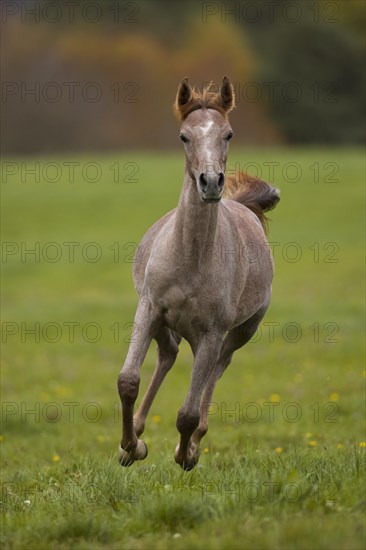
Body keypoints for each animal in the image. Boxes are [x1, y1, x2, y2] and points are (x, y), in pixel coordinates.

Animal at [117, 77, 280, 472]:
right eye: (184, 136)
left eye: (229, 134)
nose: (210, 182)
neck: (191, 261)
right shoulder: (148, 309)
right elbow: (128, 380)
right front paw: (130, 447)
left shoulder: (212, 332)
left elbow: (187, 413)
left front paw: (184, 454)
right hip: (166, 323)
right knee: (169, 354)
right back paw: (138, 432)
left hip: (239, 332)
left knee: (218, 367)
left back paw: (192, 444)